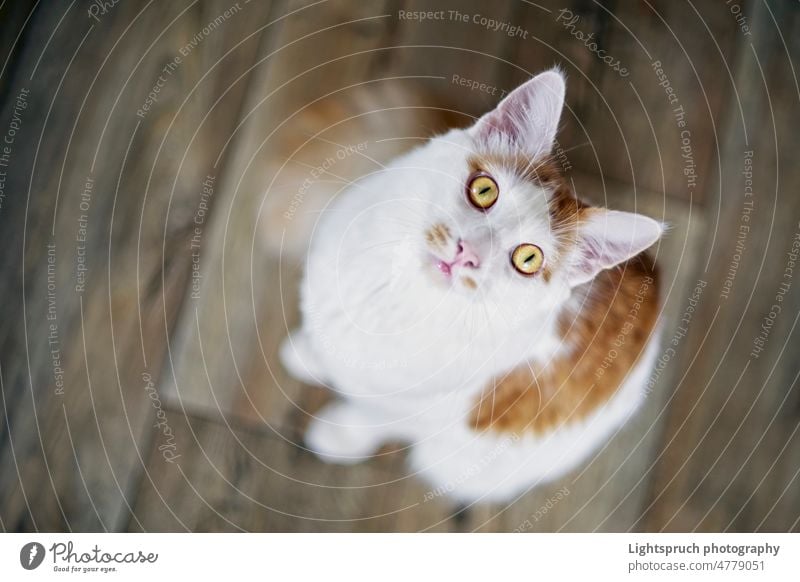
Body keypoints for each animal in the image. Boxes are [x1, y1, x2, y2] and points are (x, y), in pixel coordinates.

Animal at [276, 68, 664, 504]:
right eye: (484, 190)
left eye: (528, 259)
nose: (468, 253)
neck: (397, 294)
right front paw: (308, 354)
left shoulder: (427, 414)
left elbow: (372, 418)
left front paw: (339, 435)